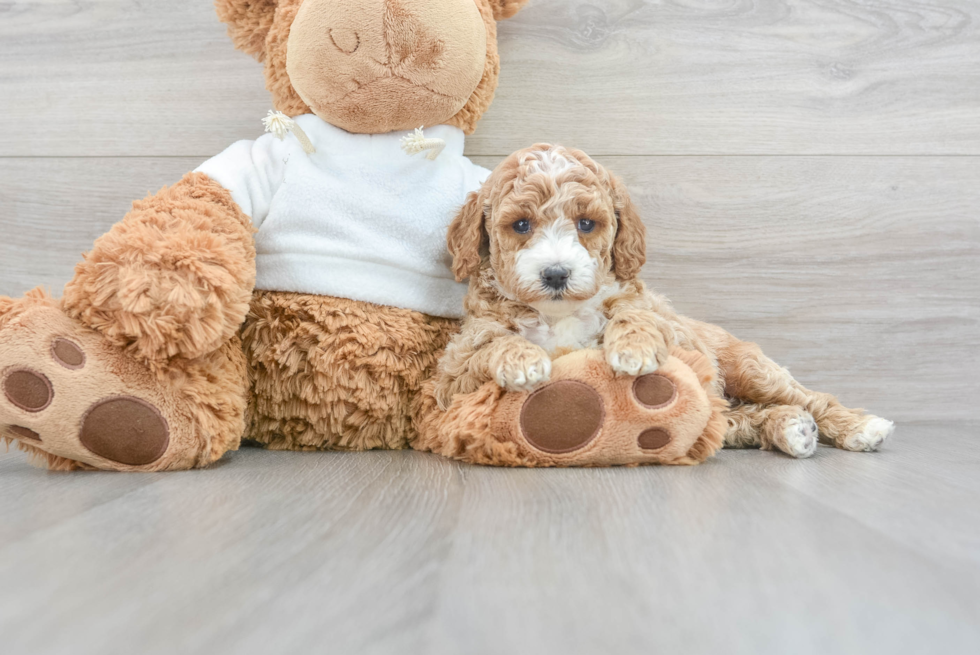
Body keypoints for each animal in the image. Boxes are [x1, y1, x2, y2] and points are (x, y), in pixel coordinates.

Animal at [438, 144, 896, 462]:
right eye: (521, 225)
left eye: (586, 224)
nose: (555, 274)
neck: (559, 315)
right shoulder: (452, 379)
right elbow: (489, 345)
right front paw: (522, 359)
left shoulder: (660, 318)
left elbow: (637, 315)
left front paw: (634, 348)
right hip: (729, 410)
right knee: (738, 419)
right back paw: (791, 429)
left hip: (749, 368)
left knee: (807, 397)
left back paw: (858, 426)